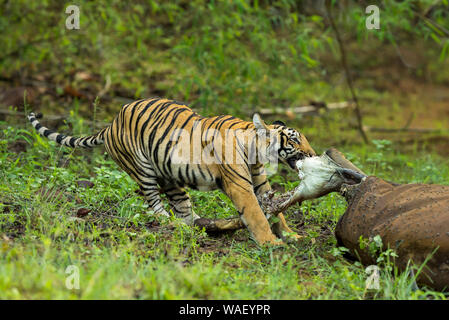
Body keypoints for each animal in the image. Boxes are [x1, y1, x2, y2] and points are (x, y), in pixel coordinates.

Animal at [28, 96, 316, 244]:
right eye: (294, 140)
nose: (313, 154)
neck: (255, 149)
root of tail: (110, 124)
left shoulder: (260, 183)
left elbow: (277, 211)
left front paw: (292, 235)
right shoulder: (241, 186)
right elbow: (256, 215)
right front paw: (271, 243)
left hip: (169, 175)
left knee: (184, 211)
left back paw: (201, 226)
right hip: (142, 171)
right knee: (155, 206)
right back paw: (174, 224)